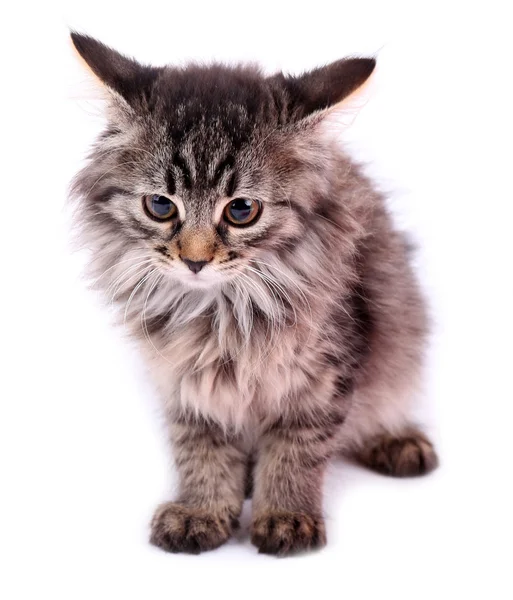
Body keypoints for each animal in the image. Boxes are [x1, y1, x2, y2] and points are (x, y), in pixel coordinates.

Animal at [70, 32, 438, 556]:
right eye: (161, 205)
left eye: (241, 210)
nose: (195, 260)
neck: (220, 312)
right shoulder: (183, 379)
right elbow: (199, 446)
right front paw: (202, 509)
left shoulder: (325, 375)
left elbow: (296, 449)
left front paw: (286, 515)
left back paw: (397, 441)